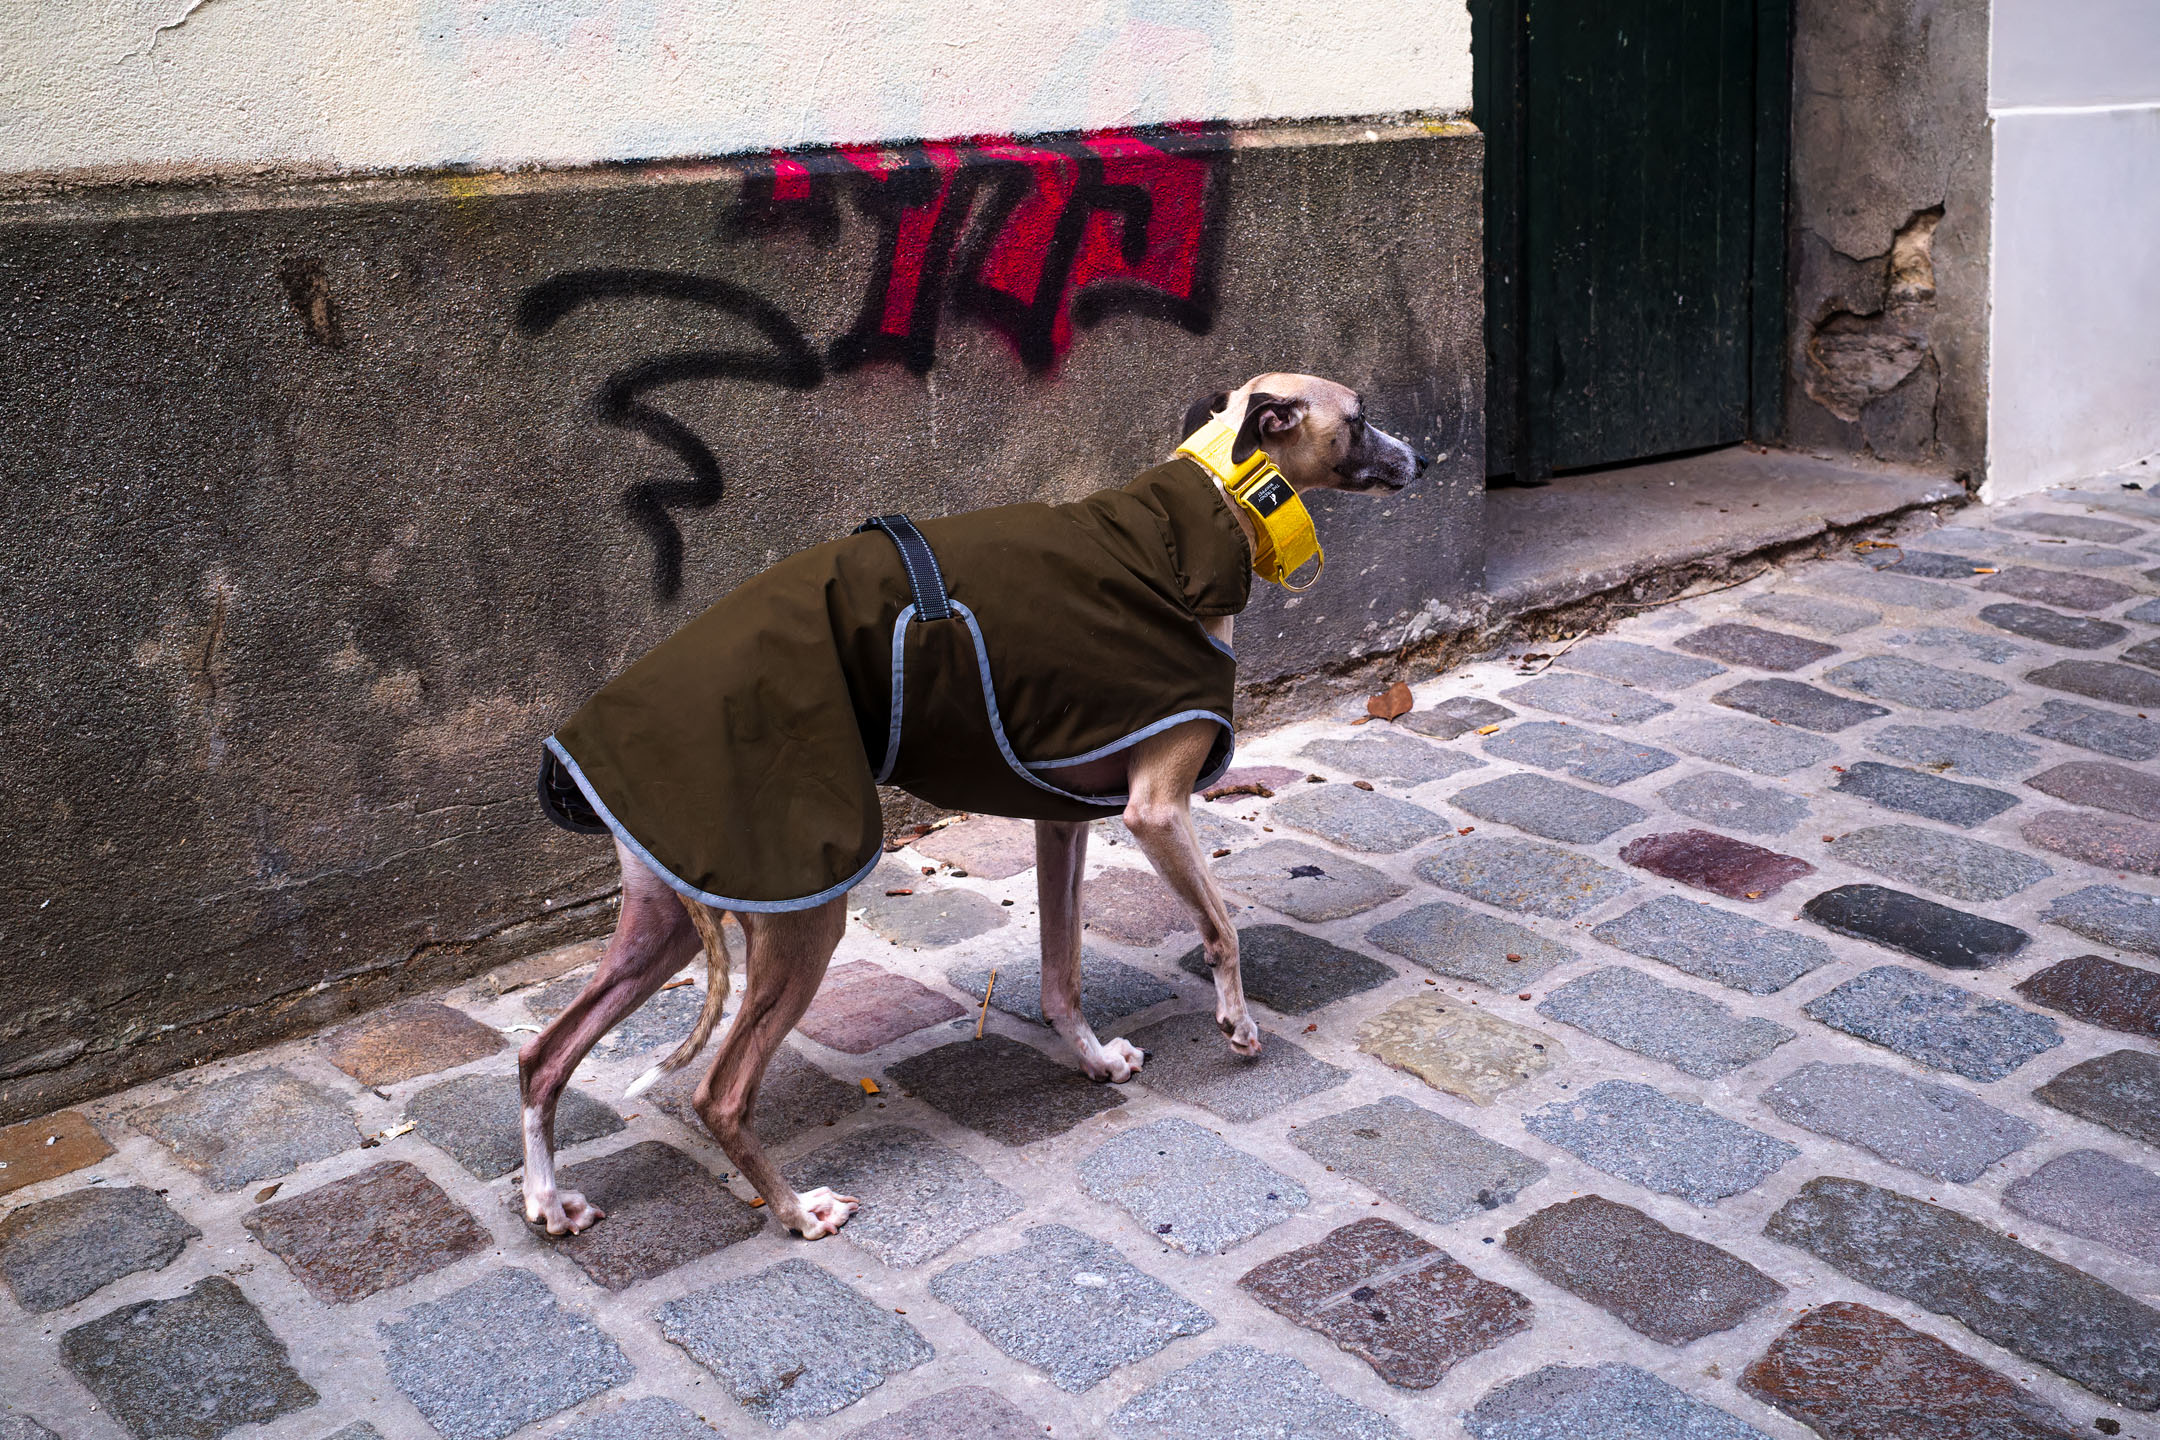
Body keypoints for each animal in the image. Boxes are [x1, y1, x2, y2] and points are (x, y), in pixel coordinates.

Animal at [520, 371, 1425, 1243]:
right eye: (1359, 416)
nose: (1421, 460)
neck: (1188, 521)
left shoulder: (1063, 818)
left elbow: (1062, 974)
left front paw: (1096, 1063)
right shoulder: (1155, 811)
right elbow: (1222, 929)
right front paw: (1235, 1025)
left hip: (669, 913)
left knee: (543, 1056)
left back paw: (549, 1201)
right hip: (800, 910)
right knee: (719, 1092)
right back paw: (798, 1211)